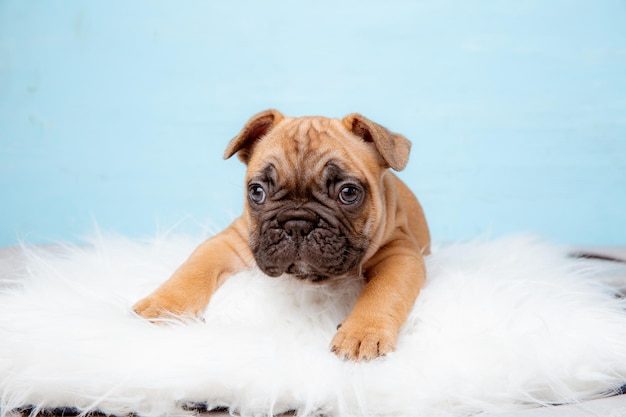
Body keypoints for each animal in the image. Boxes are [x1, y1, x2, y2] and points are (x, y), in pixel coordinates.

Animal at [133, 110, 428, 360]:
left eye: (348, 193)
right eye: (257, 191)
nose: (297, 223)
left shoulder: (399, 255)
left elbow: (383, 292)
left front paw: (361, 334)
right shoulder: (229, 242)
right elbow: (193, 269)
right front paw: (163, 308)